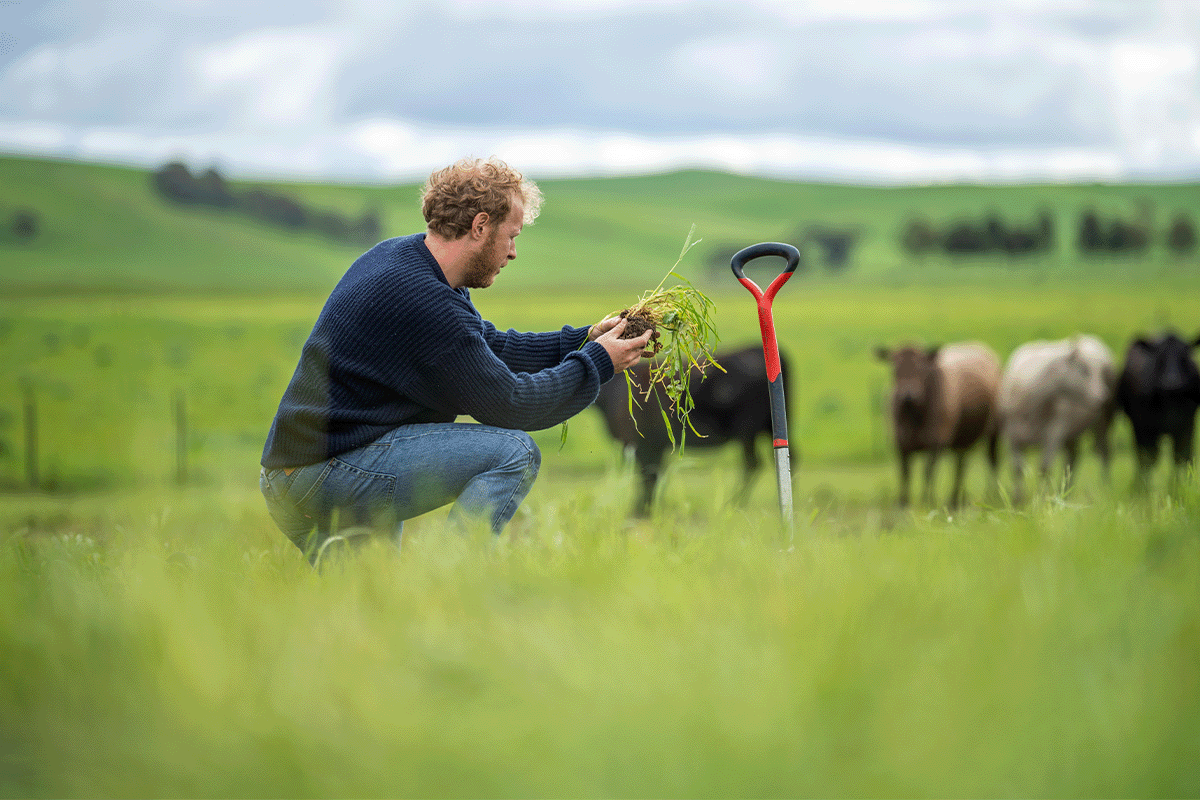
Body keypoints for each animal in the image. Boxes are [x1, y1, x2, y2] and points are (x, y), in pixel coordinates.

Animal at [590, 345, 787, 520]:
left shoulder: (642, 444)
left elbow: (648, 475)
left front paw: (642, 509)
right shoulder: (655, 446)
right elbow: (654, 476)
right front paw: (649, 507)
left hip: (747, 430)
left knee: (752, 463)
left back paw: (733, 503)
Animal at [873, 343, 1003, 506]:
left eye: (920, 368)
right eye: (894, 369)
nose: (908, 395)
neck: (915, 416)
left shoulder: (936, 443)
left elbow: (928, 472)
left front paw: (927, 501)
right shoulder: (901, 443)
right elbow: (905, 473)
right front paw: (903, 502)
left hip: (993, 432)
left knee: (992, 460)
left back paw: (993, 496)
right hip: (963, 438)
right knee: (960, 465)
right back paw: (954, 499)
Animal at [993, 333, 1113, 501]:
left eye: (1101, 372)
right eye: (1083, 369)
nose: (1104, 397)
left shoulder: (1053, 433)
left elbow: (1044, 468)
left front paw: (1042, 497)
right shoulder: (1011, 436)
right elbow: (1017, 468)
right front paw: (1017, 499)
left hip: (1102, 421)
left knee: (1104, 451)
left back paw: (1104, 486)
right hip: (1071, 434)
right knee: (1072, 458)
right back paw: (1067, 492)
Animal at [1113, 331, 1200, 489]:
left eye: (1184, 356)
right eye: (1160, 357)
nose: (1172, 383)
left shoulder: (1187, 427)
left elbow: (1182, 457)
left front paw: (1179, 485)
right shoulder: (1143, 428)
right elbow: (1148, 460)